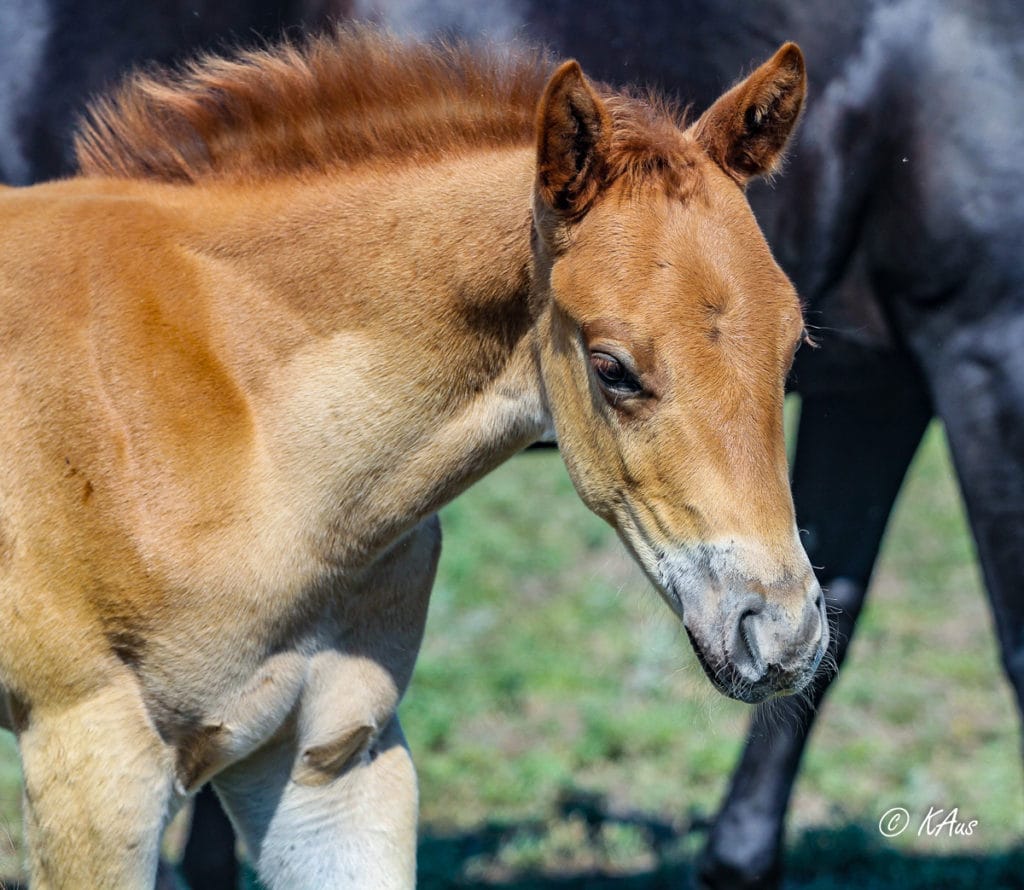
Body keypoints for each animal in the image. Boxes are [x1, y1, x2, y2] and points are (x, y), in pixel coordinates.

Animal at [2, 1, 1024, 888]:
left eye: (792, 346)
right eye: (612, 367)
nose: (778, 632)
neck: (234, 412)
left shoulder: (332, 755)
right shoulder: (92, 763)